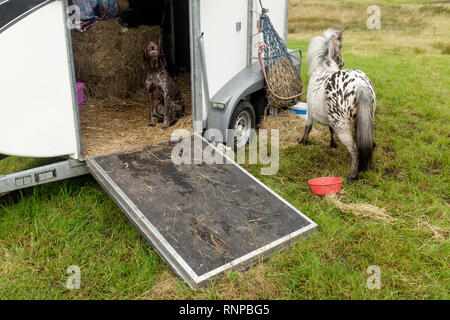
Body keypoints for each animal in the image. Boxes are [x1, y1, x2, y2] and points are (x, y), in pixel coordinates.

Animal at [302, 29, 376, 182]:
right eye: (341, 45)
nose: (342, 62)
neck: (323, 66)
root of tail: (359, 84)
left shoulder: (310, 113)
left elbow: (308, 127)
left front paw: (303, 142)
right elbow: (330, 130)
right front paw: (333, 144)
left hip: (343, 127)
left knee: (355, 150)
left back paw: (352, 176)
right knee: (370, 143)